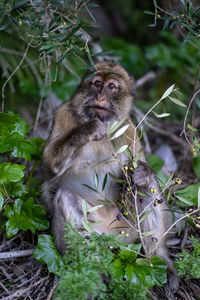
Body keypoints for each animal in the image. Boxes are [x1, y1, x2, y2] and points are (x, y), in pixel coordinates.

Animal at [42, 61, 178, 292]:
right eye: (97, 83)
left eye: (112, 86)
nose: (100, 97)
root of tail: (112, 239)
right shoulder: (62, 113)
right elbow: (50, 162)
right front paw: (87, 130)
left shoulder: (128, 128)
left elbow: (139, 170)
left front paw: (142, 172)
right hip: (96, 233)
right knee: (64, 197)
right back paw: (91, 269)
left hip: (130, 233)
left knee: (145, 188)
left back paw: (158, 259)